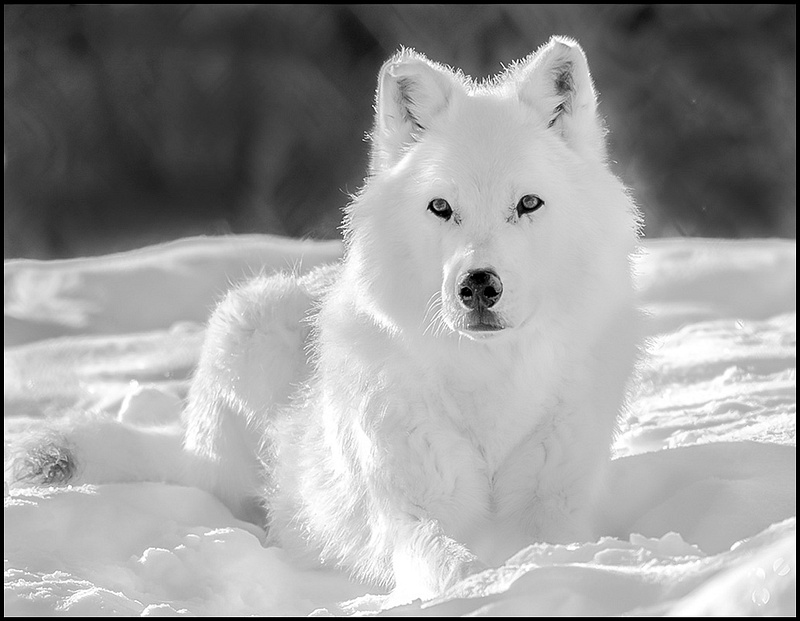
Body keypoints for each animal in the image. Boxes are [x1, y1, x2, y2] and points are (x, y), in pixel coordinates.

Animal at [10, 37, 642, 602]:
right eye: (441, 207)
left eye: (528, 204)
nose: (478, 286)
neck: (489, 384)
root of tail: (193, 441)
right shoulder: (407, 514)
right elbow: (443, 558)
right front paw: (487, 588)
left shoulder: (556, 505)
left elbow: (552, 543)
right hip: (250, 324)